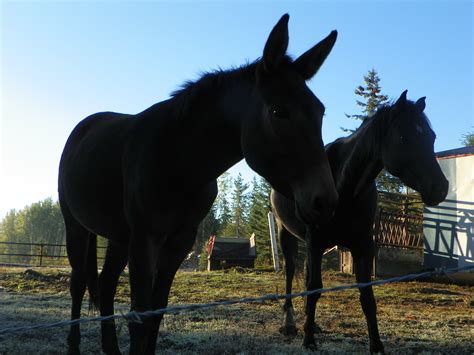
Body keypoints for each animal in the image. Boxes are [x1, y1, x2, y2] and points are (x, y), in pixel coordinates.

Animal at [59, 15, 338, 355]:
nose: (325, 201)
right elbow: (140, 316)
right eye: (278, 111)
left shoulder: (179, 242)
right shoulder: (145, 239)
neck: (179, 161)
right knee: (77, 283)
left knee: (106, 284)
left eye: (320, 111)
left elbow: (156, 312)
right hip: (76, 225)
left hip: (119, 237)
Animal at [270, 91, 448, 354]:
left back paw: (311, 324)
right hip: (287, 233)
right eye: (404, 138)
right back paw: (291, 323)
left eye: (432, 137)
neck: (344, 186)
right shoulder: (316, 242)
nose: (440, 188)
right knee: (291, 272)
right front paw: (308, 340)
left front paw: (376, 344)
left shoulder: (362, 245)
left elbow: (366, 296)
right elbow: (314, 287)